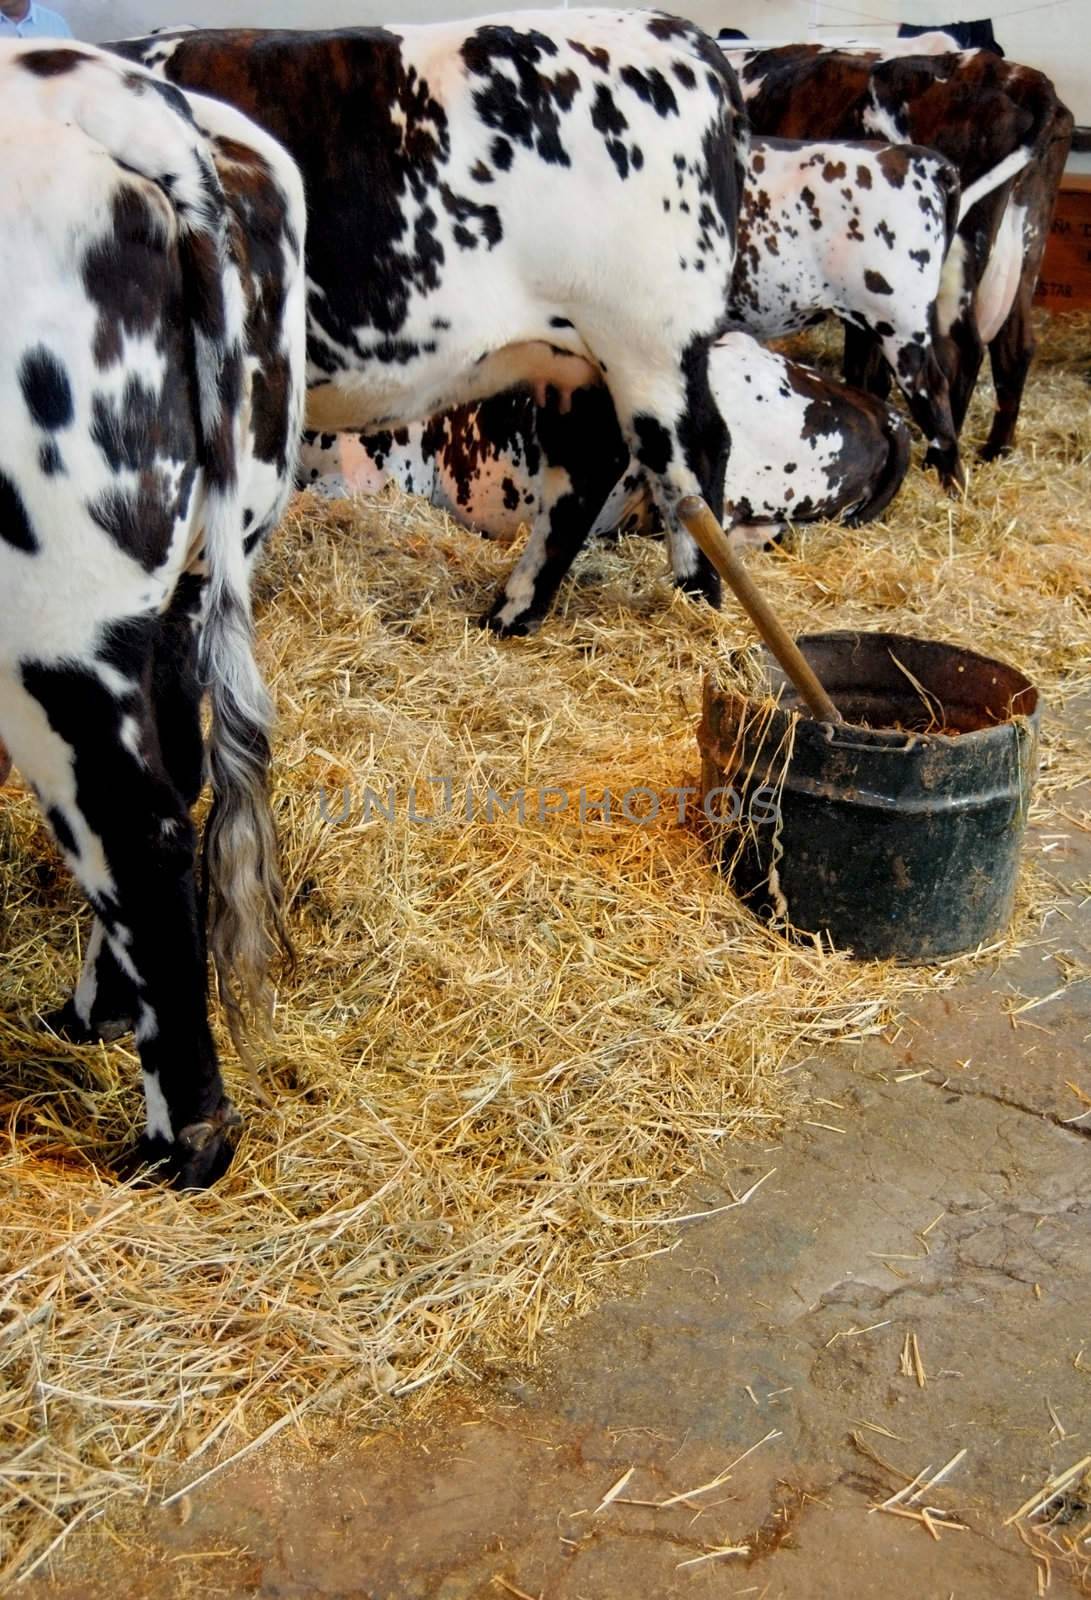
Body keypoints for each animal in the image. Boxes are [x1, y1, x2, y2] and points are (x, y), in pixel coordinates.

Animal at [0, 40, 305, 1190]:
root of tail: (132, 105)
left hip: (50, 630)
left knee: (140, 831)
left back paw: (184, 1141)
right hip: (200, 564)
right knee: (174, 771)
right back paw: (96, 1014)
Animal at [112, 18, 748, 617]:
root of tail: (684, 35)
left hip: (649, 342)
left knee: (692, 451)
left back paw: (696, 600)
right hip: (573, 358)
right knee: (588, 459)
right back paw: (513, 611)